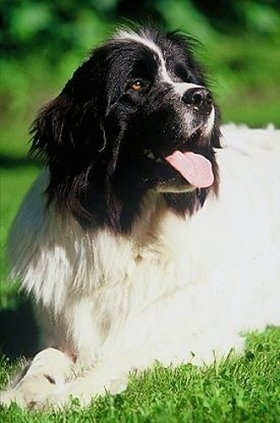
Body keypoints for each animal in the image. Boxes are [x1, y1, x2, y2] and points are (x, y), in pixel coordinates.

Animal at [0, 24, 280, 410]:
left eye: (184, 77)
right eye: (136, 85)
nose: (202, 97)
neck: (131, 227)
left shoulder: (194, 334)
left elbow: (119, 357)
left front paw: (67, 395)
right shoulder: (61, 329)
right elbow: (45, 359)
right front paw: (23, 391)